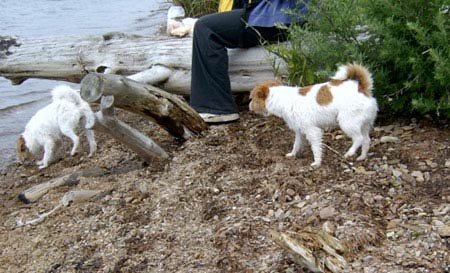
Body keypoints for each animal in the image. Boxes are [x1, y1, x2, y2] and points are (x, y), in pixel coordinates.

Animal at [248, 63, 378, 167]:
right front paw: (292, 154)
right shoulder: (299, 131)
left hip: (347, 122)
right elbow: (296, 144)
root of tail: (362, 88)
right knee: (366, 140)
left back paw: (349, 153)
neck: (282, 99)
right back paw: (362, 157)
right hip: (363, 124)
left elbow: (315, 148)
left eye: (252, 98)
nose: (249, 107)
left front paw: (317, 162)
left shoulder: (313, 131)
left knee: (359, 139)